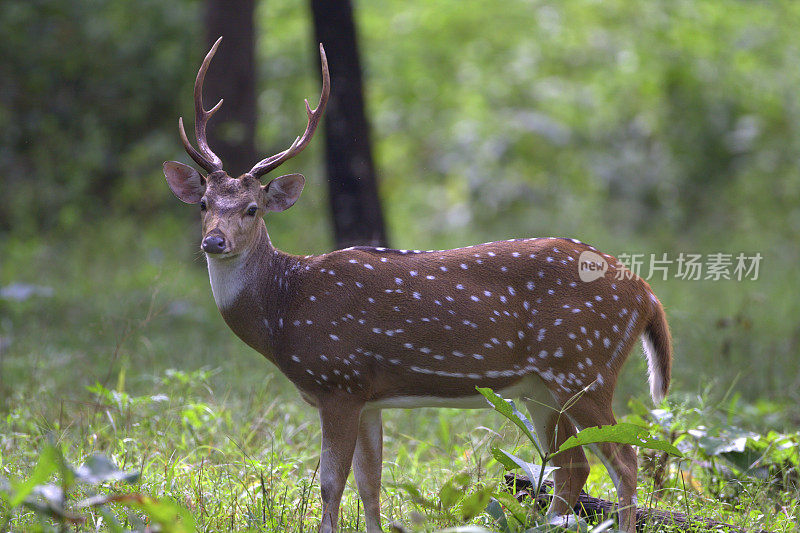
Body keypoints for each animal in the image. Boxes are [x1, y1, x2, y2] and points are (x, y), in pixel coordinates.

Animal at [164, 38, 676, 532]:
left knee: (623, 459)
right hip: (542, 387)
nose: (213, 241)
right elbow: (370, 484)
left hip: (584, 366)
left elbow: (331, 485)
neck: (285, 308)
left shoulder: (338, 380)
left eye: (252, 208)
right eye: (205, 203)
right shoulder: (367, 395)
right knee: (572, 465)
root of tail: (646, 294)